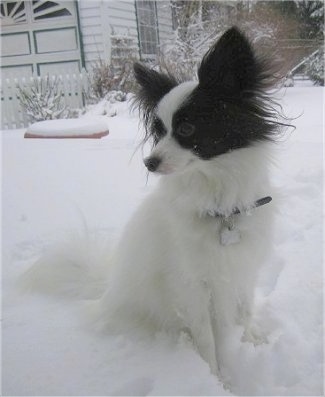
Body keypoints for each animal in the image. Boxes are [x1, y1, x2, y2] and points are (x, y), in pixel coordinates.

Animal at [97, 26, 282, 372]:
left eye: (186, 128)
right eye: (158, 132)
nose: (149, 162)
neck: (220, 202)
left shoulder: (240, 270)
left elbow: (242, 313)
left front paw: (249, 344)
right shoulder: (191, 285)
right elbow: (207, 340)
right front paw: (215, 376)